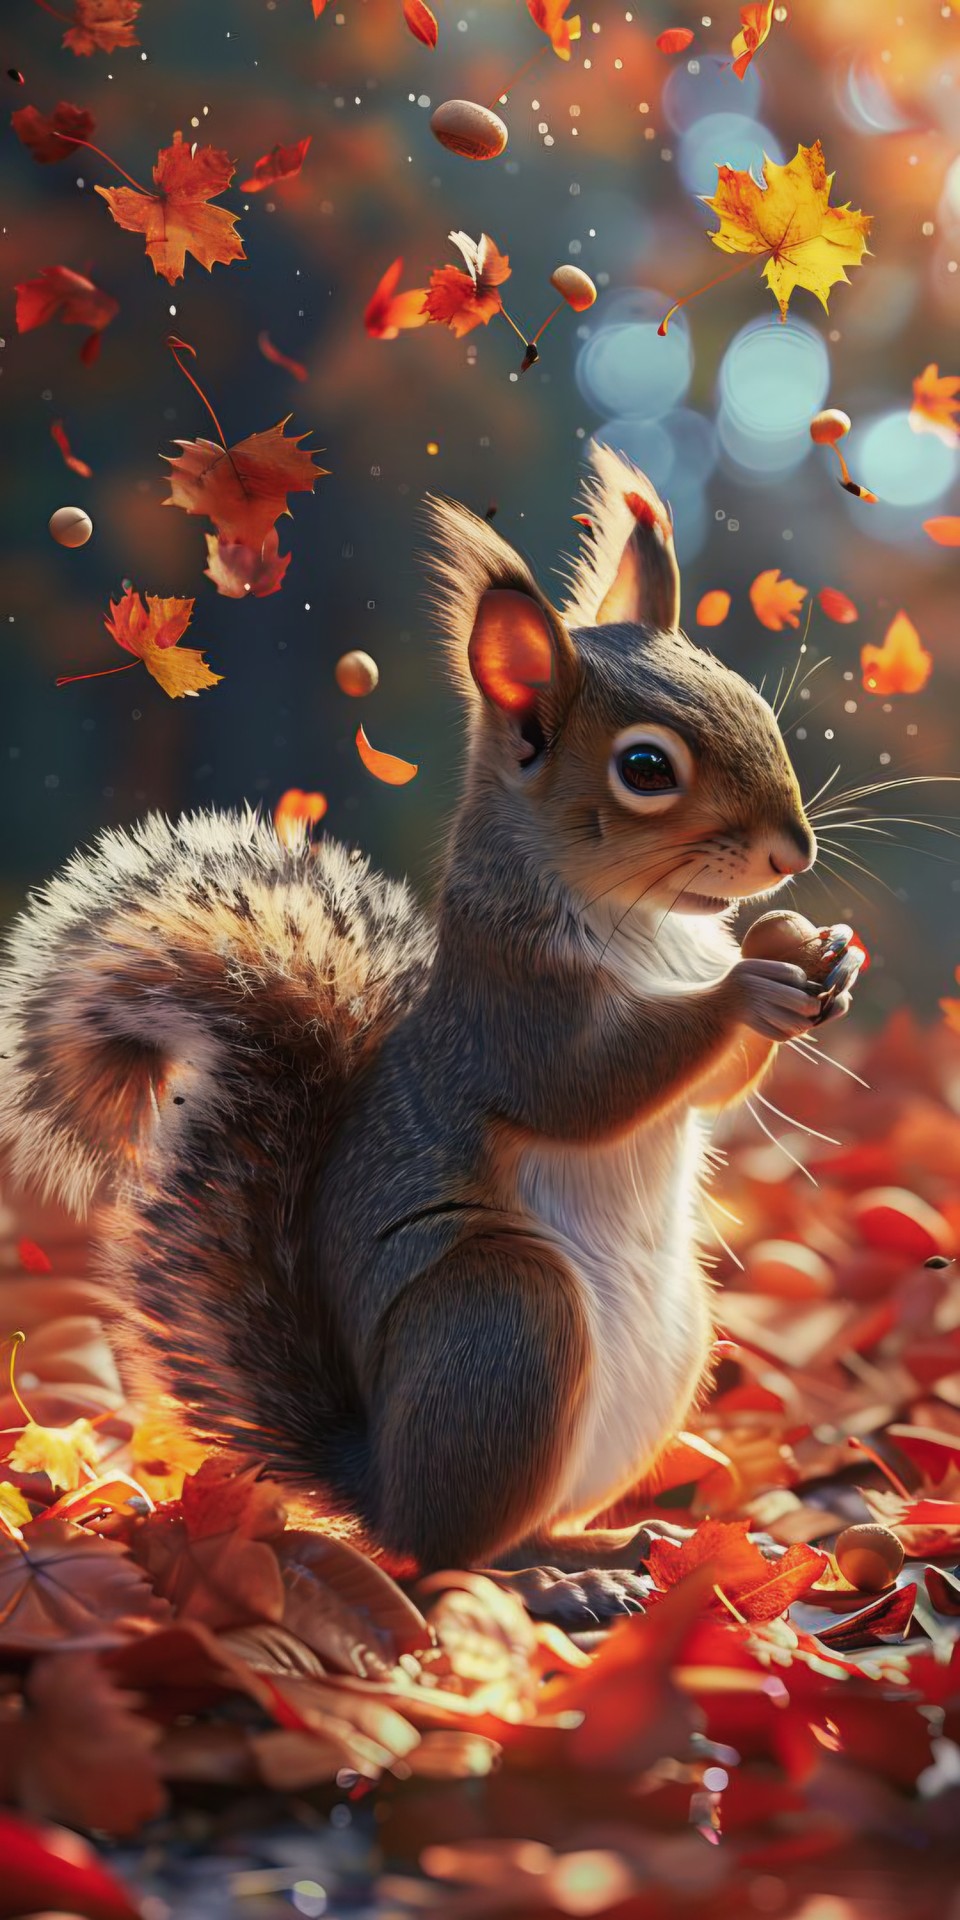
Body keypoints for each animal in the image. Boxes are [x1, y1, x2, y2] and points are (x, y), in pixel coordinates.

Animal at [0, 447, 863, 1598]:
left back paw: (607, 1542)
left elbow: (713, 1087)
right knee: (452, 1556)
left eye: (756, 709)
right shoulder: (509, 1012)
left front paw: (815, 958)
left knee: (514, 1527)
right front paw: (744, 992)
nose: (793, 853)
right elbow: (590, 1088)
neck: (653, 930)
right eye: (646, 769)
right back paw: (556, 1584)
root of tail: (377, 1480)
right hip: (507, 1320)